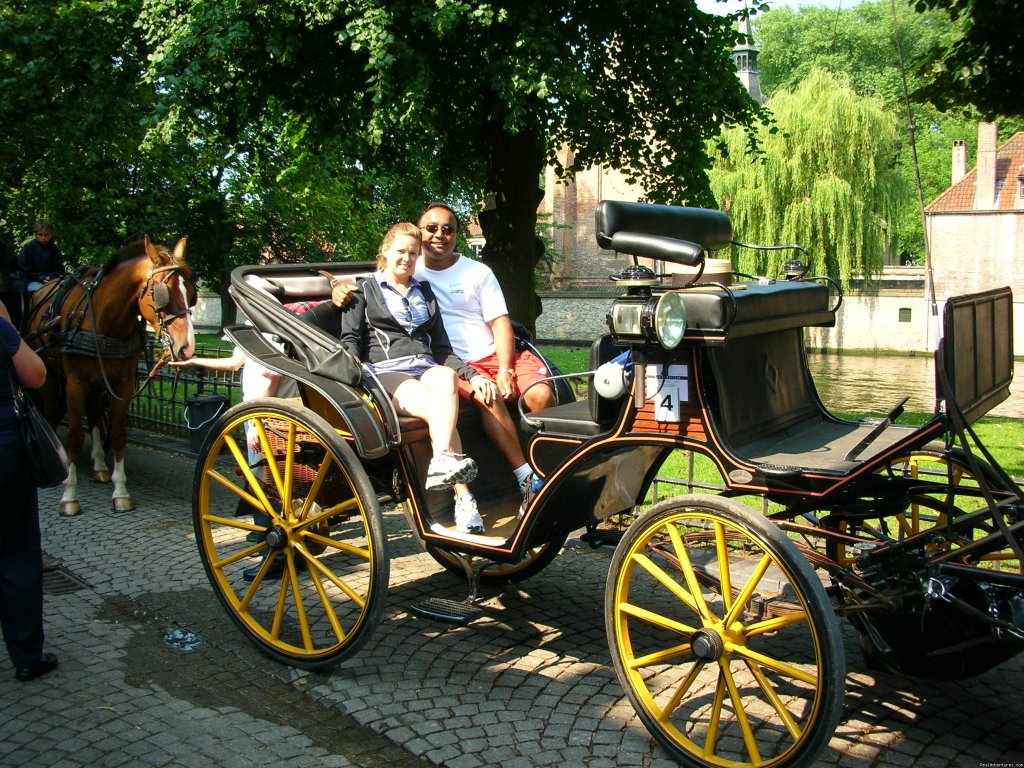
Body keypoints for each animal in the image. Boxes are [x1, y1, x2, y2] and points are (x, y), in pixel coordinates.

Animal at [27, 236, 197, 518]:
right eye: (162, 291)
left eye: (191, 293)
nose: (187, 347)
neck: (105, 320)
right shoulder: (75, 383)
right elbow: (74, 435)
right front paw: (69, 495)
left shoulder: (123, 384)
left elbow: (118, 433)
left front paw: (120, 492)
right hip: (49, 375)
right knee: (50, 414)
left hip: (96, 382)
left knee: (96, 414)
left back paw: (99, 466)